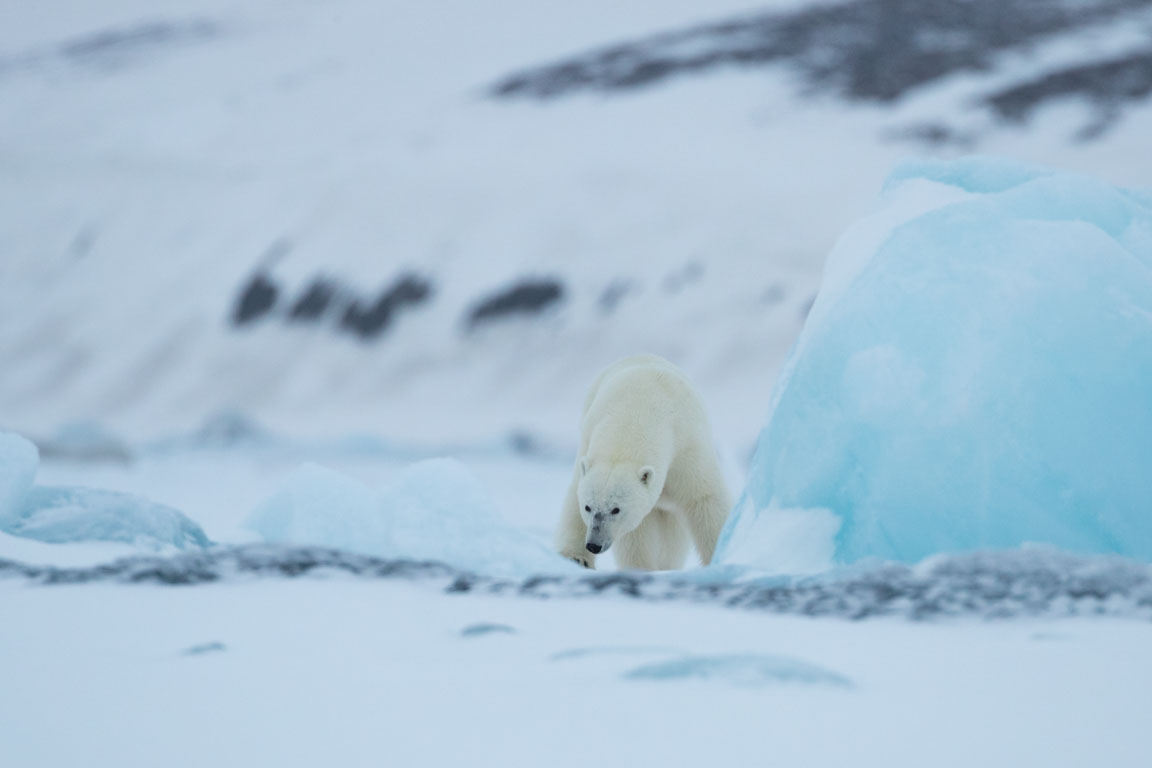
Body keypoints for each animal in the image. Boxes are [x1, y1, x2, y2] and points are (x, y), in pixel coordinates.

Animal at [555, 356, 728, 571]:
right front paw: (640, 568)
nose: (594, 545)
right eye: (588, 507)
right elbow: (635, 533)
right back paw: (576, 557)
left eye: (616, 509)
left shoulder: (686, 451)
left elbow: (705, 499)